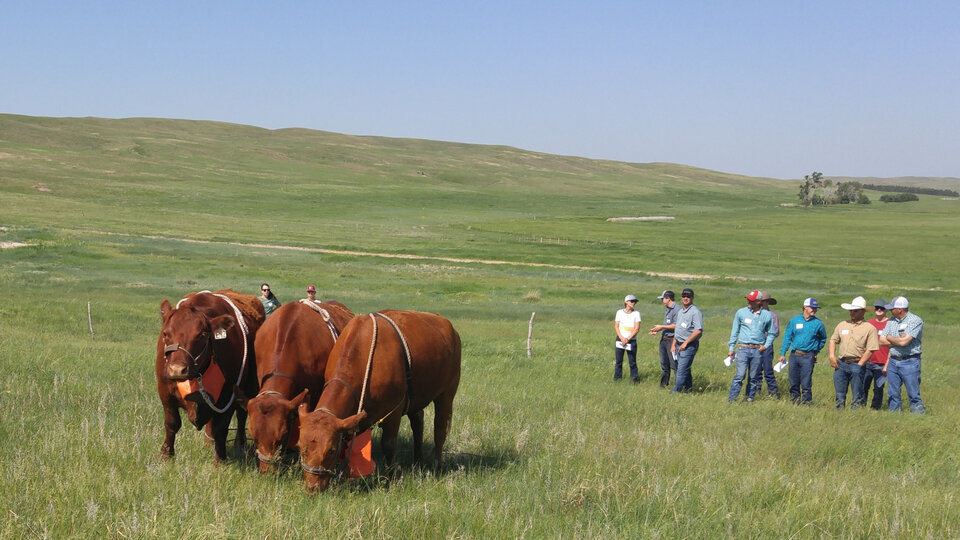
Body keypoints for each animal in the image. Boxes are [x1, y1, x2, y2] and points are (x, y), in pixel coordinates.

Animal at [156, 288, 264, 462]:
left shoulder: (228, 396)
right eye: (165, 334)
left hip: (250, 386)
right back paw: (208, 443)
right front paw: (166, 454)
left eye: (201, 335)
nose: (177, 369)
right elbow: (172, 423)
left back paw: (239, 443)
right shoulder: (165, 392)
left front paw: (220, 459)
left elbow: (221, 428)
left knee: (242, 415)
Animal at [300, 308, 464, 494]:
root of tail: (445, 323)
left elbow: (389, 444)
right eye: (300, 448)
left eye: (331, 450)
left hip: (447, 393)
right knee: (418, 424)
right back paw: (417, 462)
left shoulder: (394, 410)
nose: (312, 487)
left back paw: (437, 468)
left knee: (440, 430)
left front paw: (391, 478)